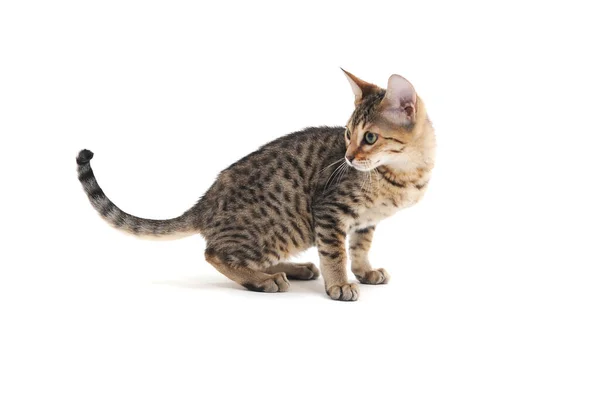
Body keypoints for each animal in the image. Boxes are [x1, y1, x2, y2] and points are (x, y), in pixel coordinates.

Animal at [78, 70, 436, 300]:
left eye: (370, 137)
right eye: (348, 134)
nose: (347, 157)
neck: (403, 175)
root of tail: (206, 201)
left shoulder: (364, 221)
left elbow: (360, 248)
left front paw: (365, 271)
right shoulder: (329, 210)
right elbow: (335, 252)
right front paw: (340, 283)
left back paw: (296, 269)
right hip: (286, 225)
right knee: (216, 254)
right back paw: (265, 281)